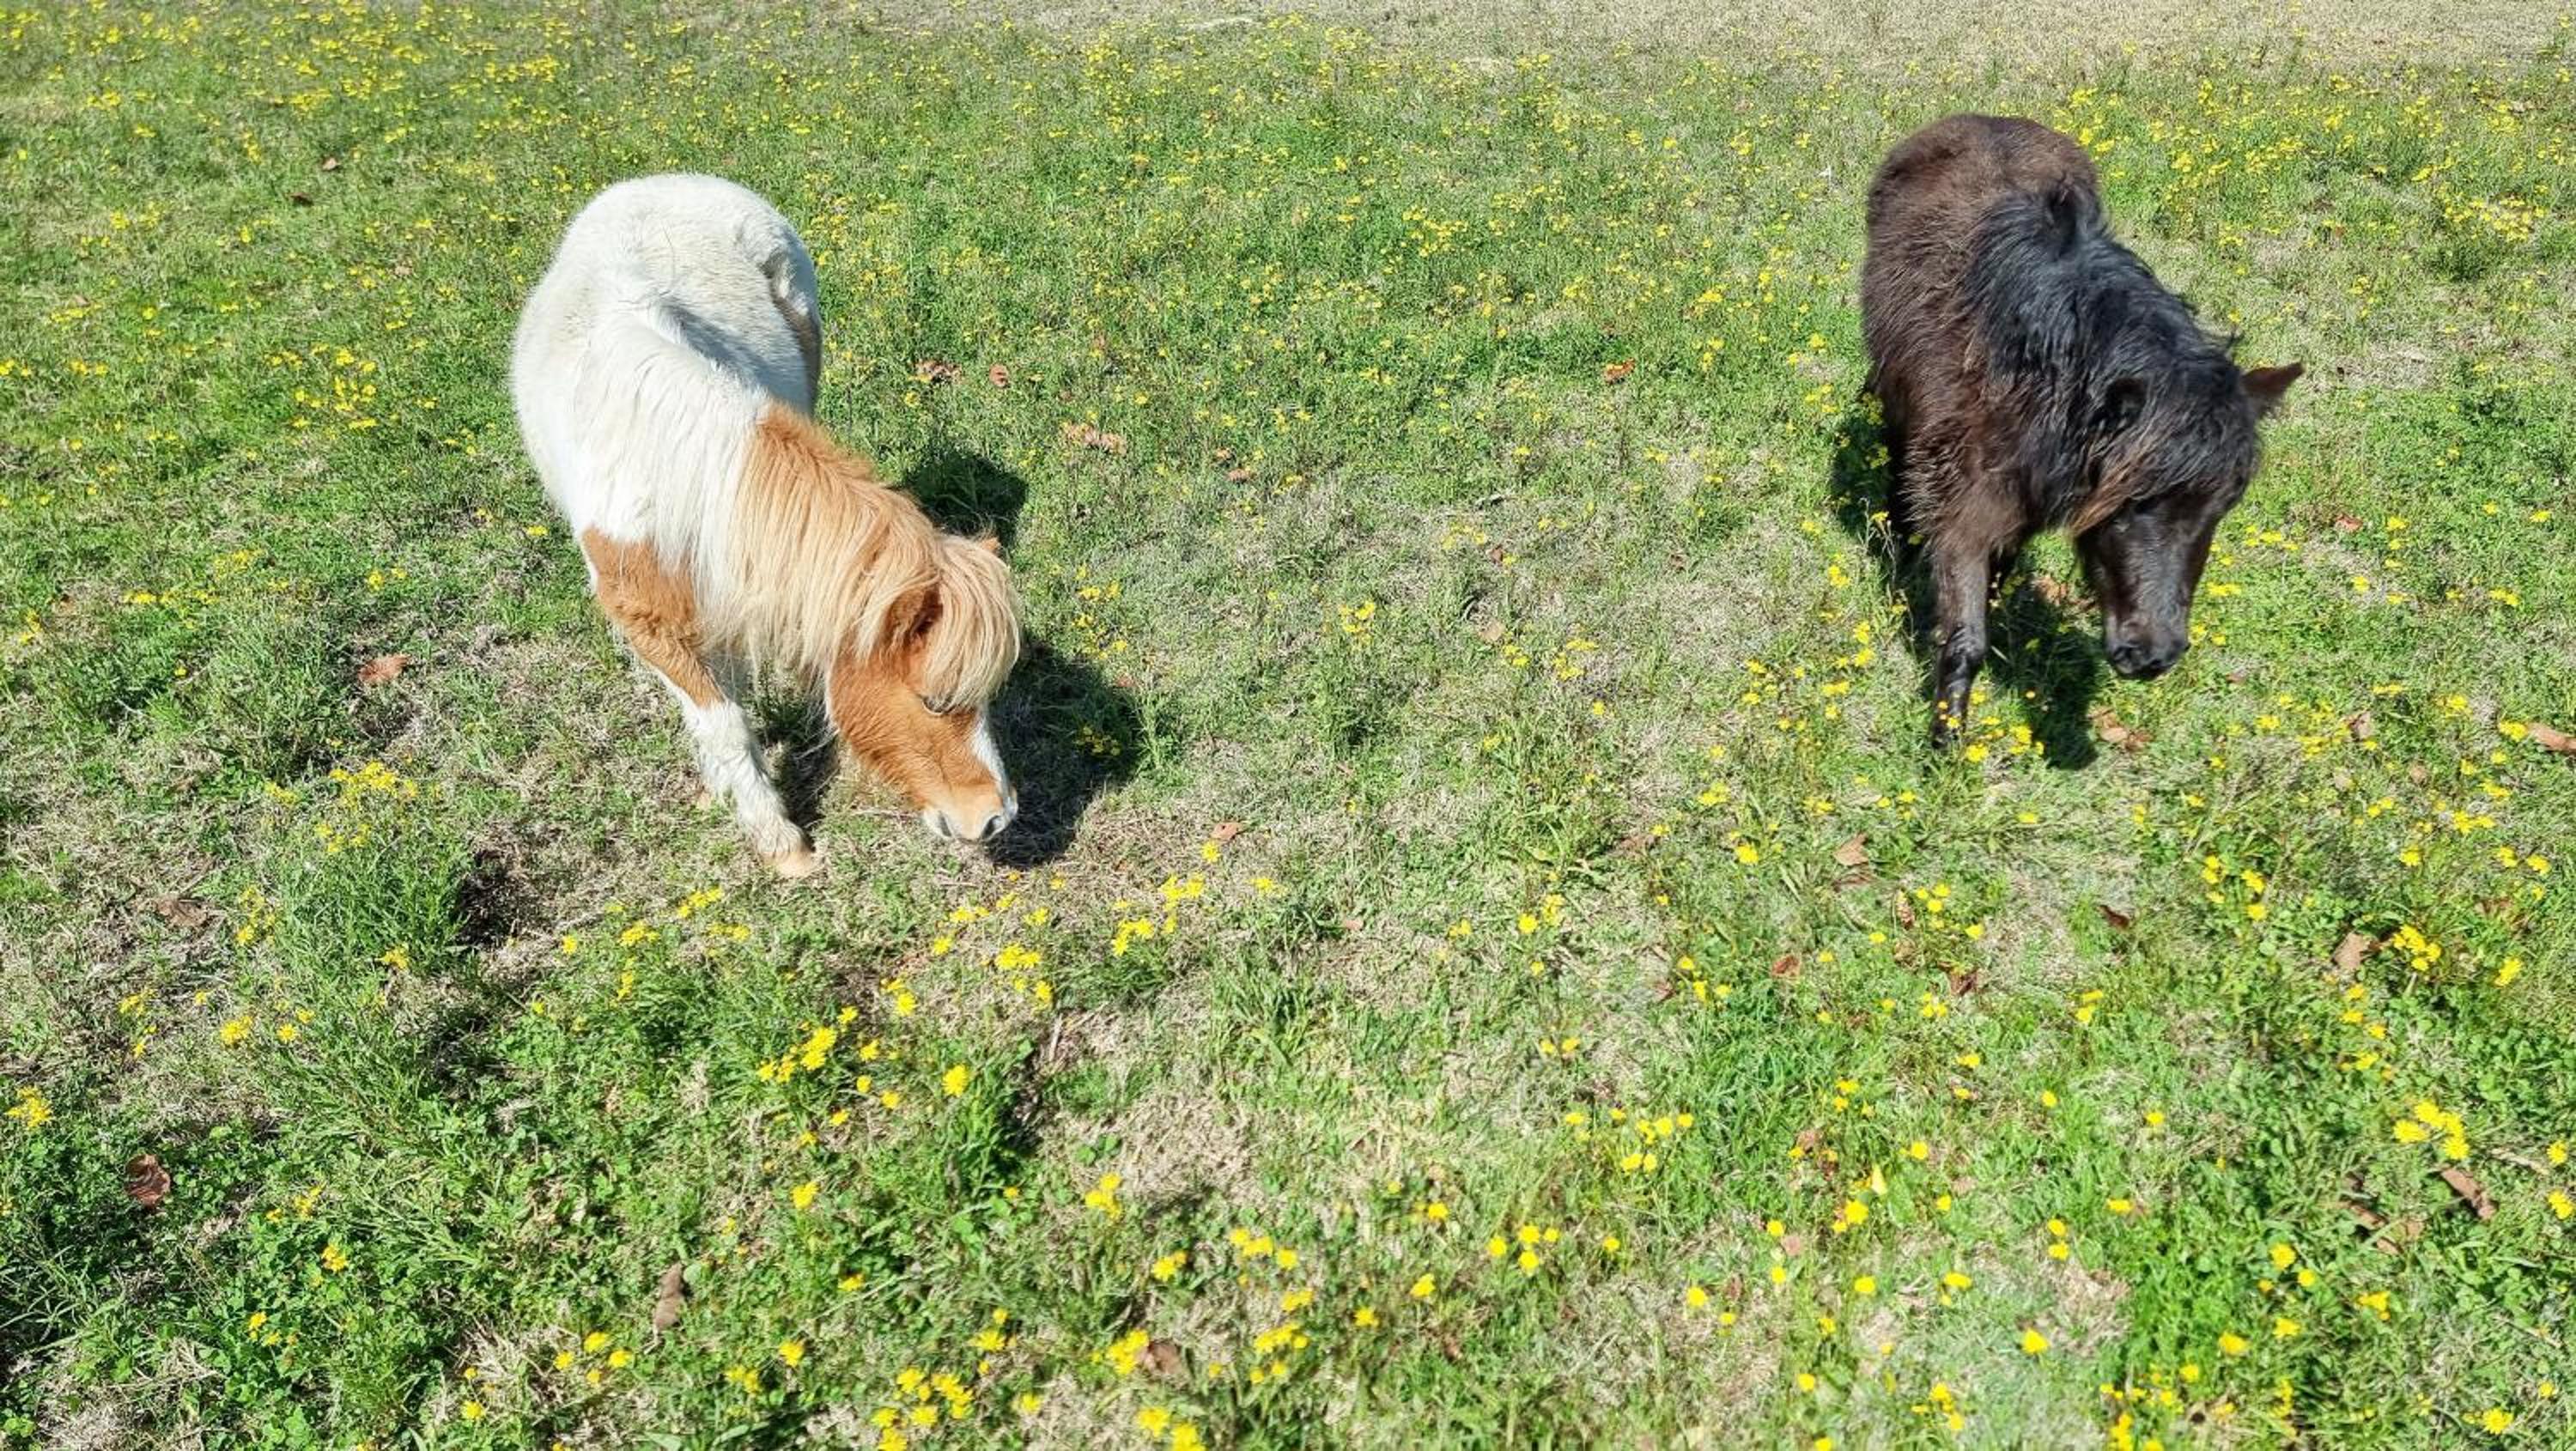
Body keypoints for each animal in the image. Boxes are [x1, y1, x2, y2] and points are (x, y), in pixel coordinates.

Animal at [511, 174, 1021, 874]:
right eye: (932, 701)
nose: (996, 817)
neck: (676, 471)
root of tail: (666, 180)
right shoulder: (649, 625)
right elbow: (722, 718)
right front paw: (779, 841)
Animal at [1860, 115, 2301, 742]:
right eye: (2134, 501)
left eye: (2223, 508)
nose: (2153, 656)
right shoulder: (1963, 506)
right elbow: (1966, 638)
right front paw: (1946, 745)